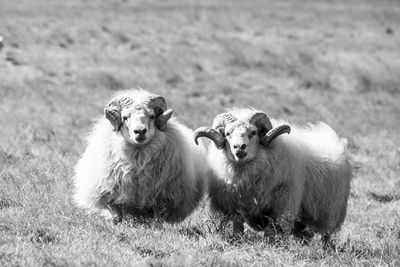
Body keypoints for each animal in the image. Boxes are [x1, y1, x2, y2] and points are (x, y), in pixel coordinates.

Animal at [73, 89, 208, 224]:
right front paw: (116, 225)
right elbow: (116, 216)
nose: (140, 131)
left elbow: (158, 219)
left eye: (152, 116)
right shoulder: (109, 194)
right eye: (125, 117)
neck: (138, 156)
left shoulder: (161, 196)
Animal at [195, 108, 354, 245]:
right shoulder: (233, 204)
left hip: (332, 210)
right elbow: (238, 225)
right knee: (303, 233)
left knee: (326, 234)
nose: (239, 147)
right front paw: (237, 240)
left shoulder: (281, 204)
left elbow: (271, 230)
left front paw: (269, 244)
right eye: (227, 133)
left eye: (253, 132)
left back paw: (326, 248)